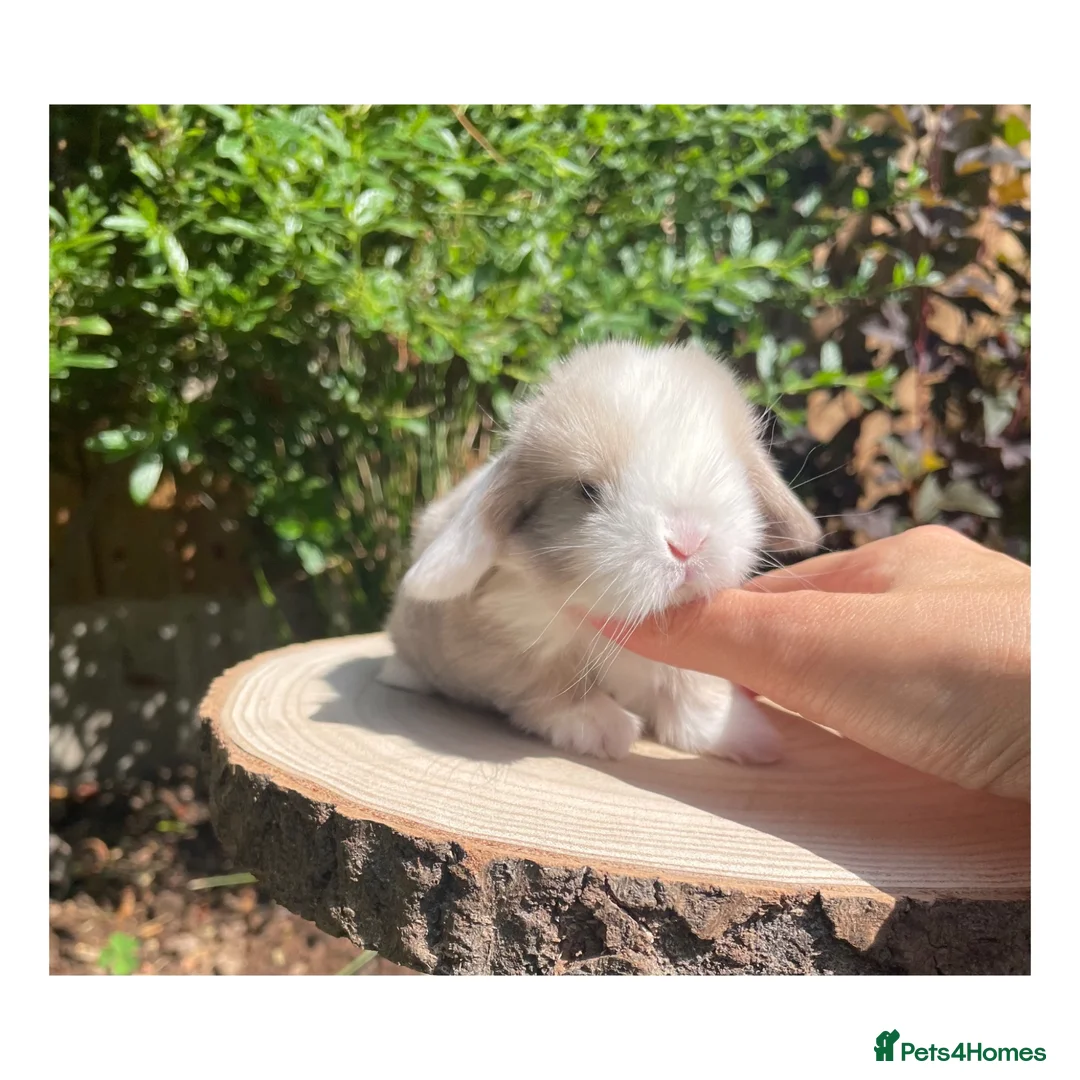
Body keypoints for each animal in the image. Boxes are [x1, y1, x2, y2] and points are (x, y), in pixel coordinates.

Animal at [378, 340, 822, 763]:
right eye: (587, 491)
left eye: (733, 473)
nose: (687, 542)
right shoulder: (515, 638)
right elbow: (555, 691)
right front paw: (606, 730)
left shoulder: (686, 668)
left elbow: (693, 696)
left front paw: (750, 737)